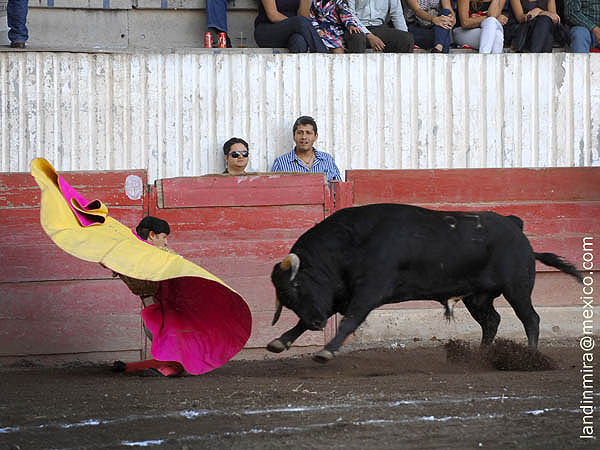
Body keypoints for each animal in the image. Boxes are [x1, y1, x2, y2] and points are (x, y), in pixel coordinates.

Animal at [268, 204, 580, 362]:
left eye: (296, 286)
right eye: (286, 298)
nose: (318, 324)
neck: (352, 242)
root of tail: (514, 224)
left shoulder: (368, 291)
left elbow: (350, 320)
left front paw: (326, 350)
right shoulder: (339, 294)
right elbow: (304, 323)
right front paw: (279, 342)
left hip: (517, 288)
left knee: (531, 318)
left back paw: (530, 355)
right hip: (477, 297)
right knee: (491, 320)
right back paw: (481, 355)